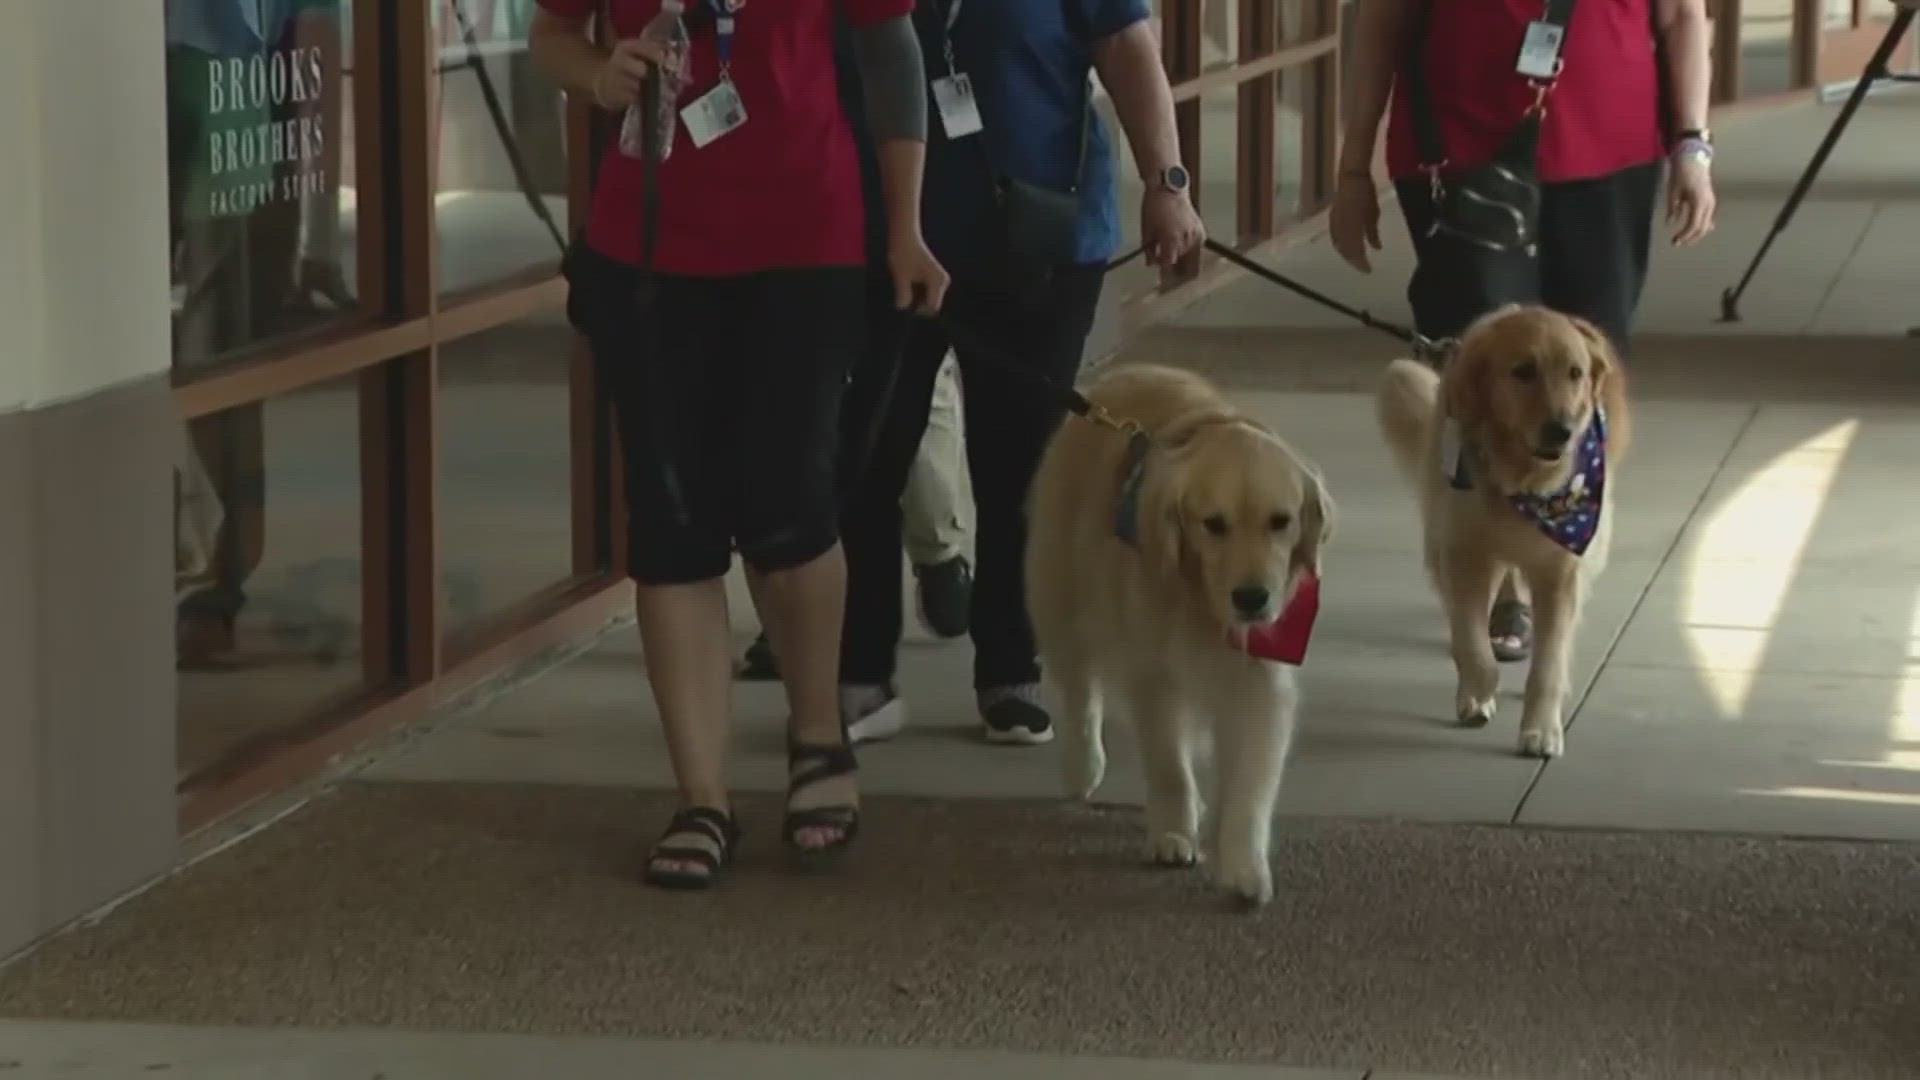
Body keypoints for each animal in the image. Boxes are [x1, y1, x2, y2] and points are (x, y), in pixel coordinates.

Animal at [1029, 359, 1328, 899]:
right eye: (1213, 524)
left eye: (1281, 521)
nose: (1252, 598)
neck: (1202, 603)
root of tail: (1128, 371)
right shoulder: (1155, 674)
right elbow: (1169, 762)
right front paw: (1173, 832)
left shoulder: (1259, 680)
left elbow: (1250, 782)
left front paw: (1242, 861)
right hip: (1060, 600)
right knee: (1081, 692)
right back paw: (1083, 766)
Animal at [1374, 303, 1628, 757]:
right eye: (1523, 371)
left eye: (1575, 373)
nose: (1562, 431)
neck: (1524, 479)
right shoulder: (1466, 552)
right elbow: (1472, 645)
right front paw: (1477, 694)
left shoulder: (1561, 568)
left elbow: (1548, 663)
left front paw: (1541, 728)